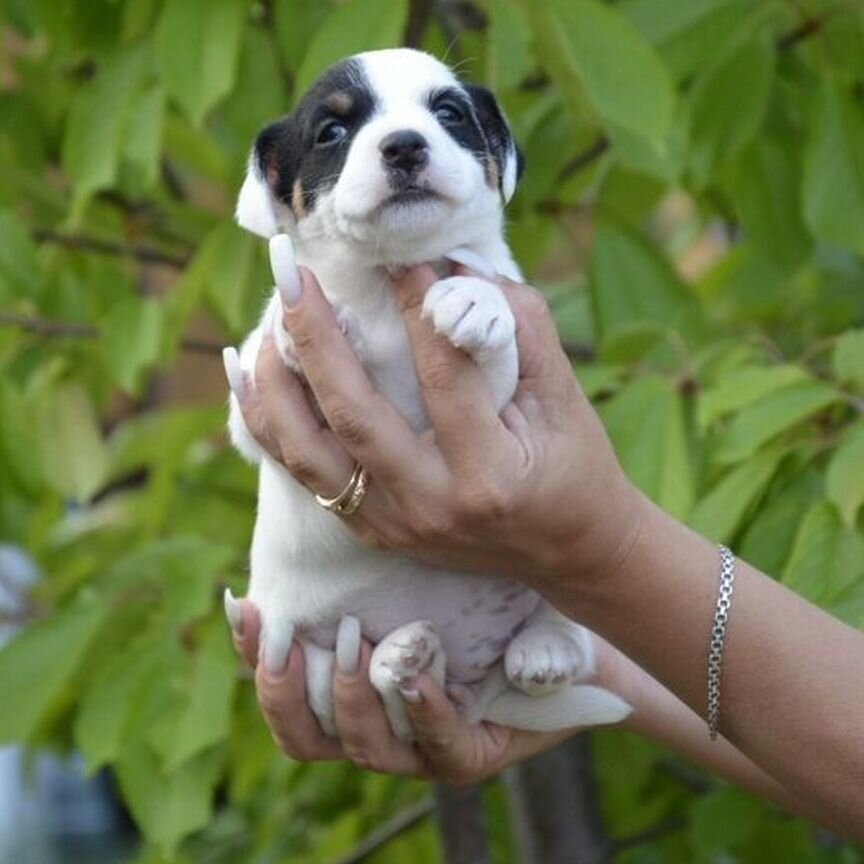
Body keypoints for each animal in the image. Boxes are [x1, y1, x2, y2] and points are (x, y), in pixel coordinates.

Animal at [223, 47, 628, 740]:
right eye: (332, 131)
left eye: (449, 113)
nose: (405, 144)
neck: (387, 285)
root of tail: (472, 679)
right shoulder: (249, 408)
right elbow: (268, 350)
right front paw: (300, 332)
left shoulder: (503, 389)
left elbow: (494, 311)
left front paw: (474, 300)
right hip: (311, 659)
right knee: (380, 690)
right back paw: (400, 658)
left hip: (568, 569)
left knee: (568, 633)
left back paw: (540, 649)